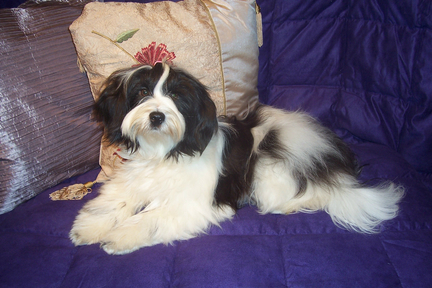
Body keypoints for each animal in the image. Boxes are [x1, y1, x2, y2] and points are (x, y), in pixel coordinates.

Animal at [69, 62, 404, 254]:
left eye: (176, 97)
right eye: (141, 92)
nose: (156, 115)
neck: (165, 151)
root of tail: (337, 156)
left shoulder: (193, 203)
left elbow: (151, 216)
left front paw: (120, 236)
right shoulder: (132, 179)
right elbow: (115, 201)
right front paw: (90, 228)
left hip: (272, 166)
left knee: (314, 194)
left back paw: (290, 205)